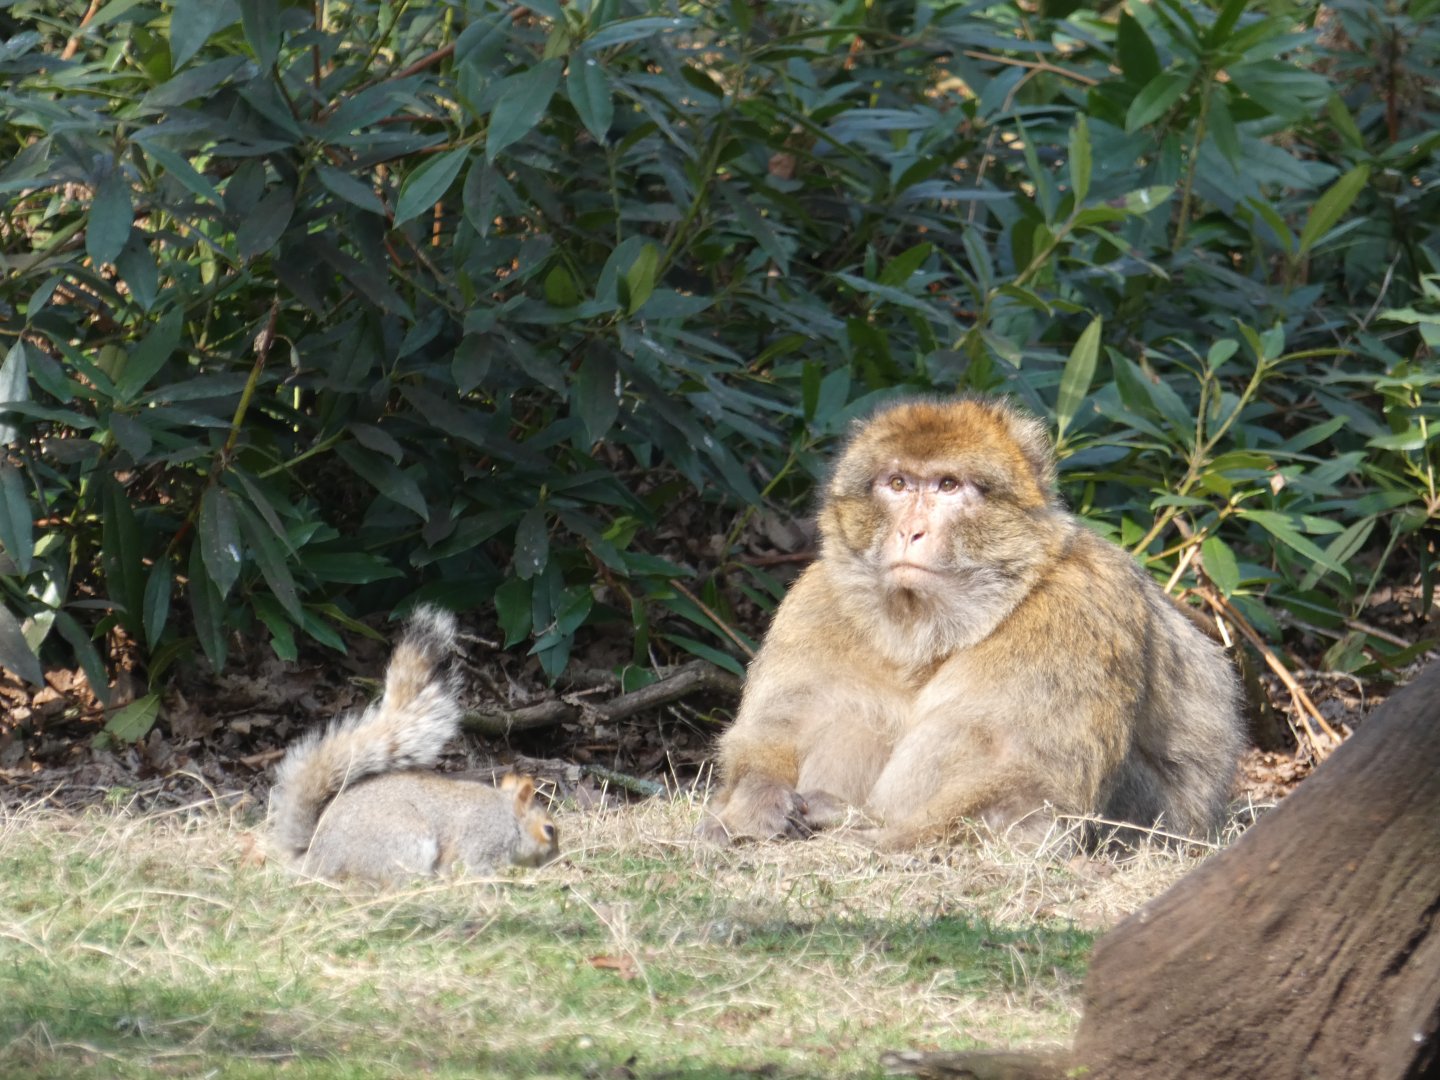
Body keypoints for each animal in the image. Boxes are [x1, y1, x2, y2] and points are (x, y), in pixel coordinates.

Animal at [268, 605, 560, 883]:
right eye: (549, 829)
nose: (555, 859)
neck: (508, 814)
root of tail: (314, 858)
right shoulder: (480, 838)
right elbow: (474, 868)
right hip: (406, 841)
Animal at [699, 395, 1244, 850]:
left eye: (948, 485)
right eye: (898, 484)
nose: (910, 530)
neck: (933, 630)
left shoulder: (1076, 612)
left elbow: (1033, 787)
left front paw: (871, 833)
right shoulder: (817, 601)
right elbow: (779, 725)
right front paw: (756, 801)